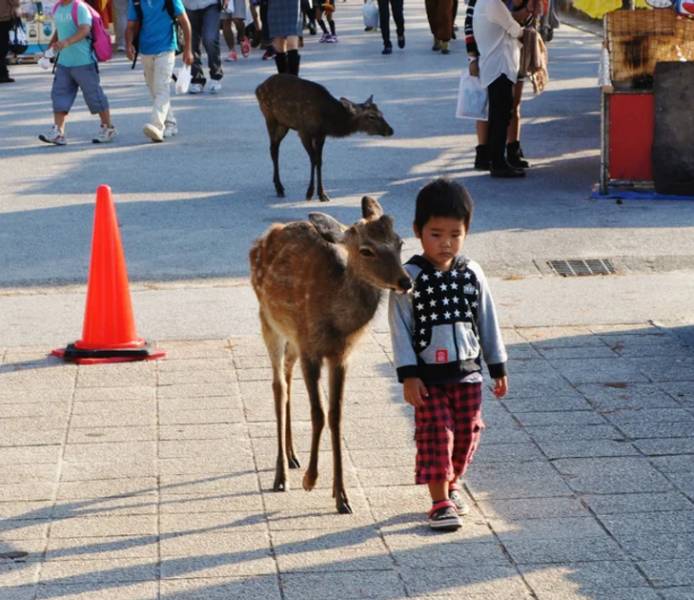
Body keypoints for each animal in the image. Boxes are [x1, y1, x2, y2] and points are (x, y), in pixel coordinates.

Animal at [250, 198, 414, 516]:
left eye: (399, 242)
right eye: (366, 250)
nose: (405, 281)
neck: (337, 323)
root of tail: (263, 238)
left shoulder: (340, 355)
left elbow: (336, 415)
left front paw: (342, 497)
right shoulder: (311, 349)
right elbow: (318, 413)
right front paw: (310, 480)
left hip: (292, 338)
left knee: (287, 376)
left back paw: (292, 456)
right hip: (269, 321)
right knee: (278, 386)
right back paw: (281, 475)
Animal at [256, 73, 396, 203]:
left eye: (381, 113)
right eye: (371, 116)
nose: (390, 130)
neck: (327, 119)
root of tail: (258, 88)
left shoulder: (321, 134)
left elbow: (319, 161)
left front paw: (322, 194)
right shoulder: (304, 131)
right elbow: (313, 160)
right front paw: (309, 193)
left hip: (283, 124)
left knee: (274, 148)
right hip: (270, 118)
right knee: (273, 149)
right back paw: (279, 188)